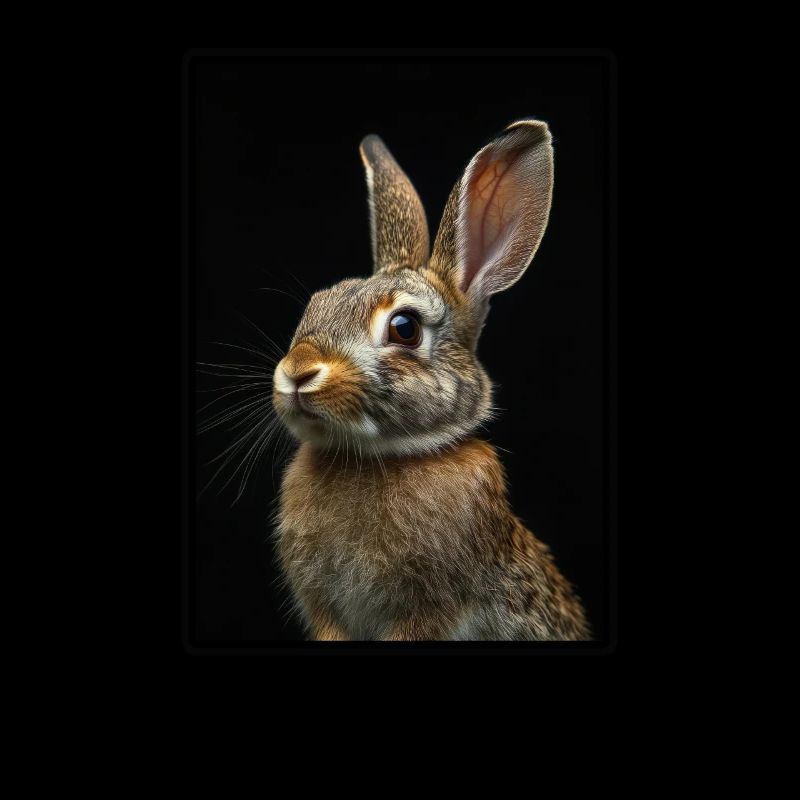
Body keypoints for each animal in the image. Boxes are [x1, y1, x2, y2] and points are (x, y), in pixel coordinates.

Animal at [271, 120, 591, 640]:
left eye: (404, 328)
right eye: (316, 304)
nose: (298, 373)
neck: (377, 456)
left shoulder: (425, 612)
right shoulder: (327, 614)